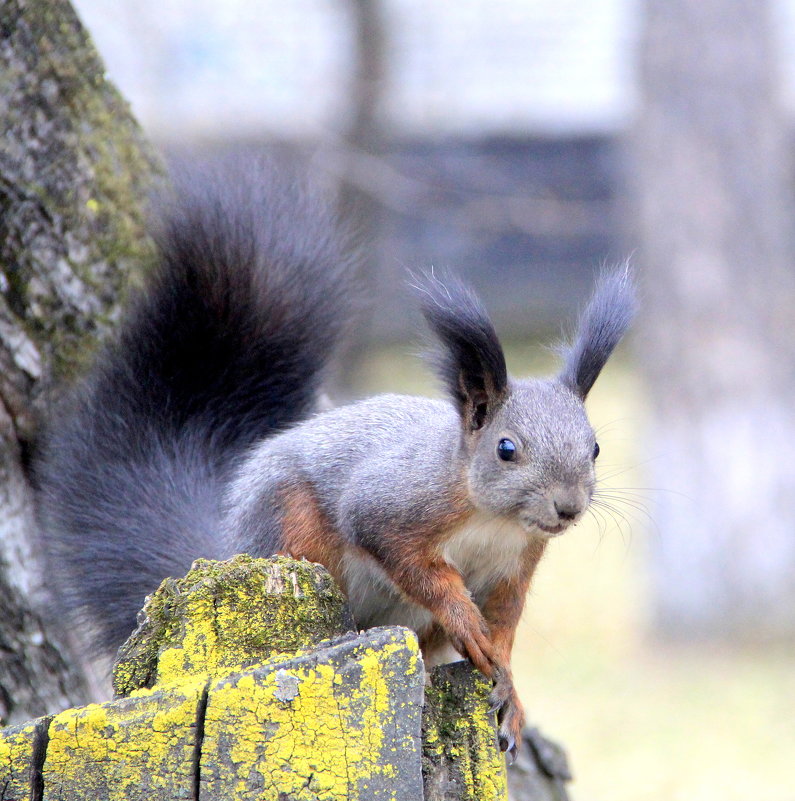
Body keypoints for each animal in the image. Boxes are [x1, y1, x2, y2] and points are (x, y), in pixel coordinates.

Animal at [34, 161, 636, 756]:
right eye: (507, 449)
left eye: (594, 448)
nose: (568, 507)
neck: (491, 519)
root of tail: (227, 548)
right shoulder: (394, 503)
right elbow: (407, 559)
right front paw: (463, 618)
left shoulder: (515, 565)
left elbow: (505, 626)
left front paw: (507, 687)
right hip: (294, 530)